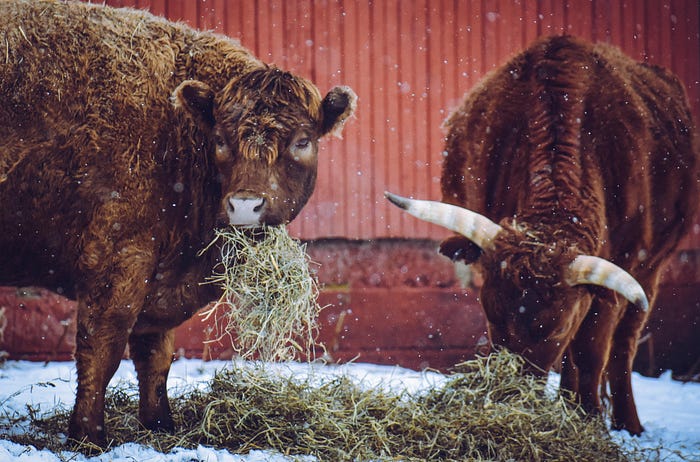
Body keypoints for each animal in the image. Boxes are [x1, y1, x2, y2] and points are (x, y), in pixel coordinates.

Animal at [0, 0, 356, 445]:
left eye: (302, 141)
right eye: (220, 139)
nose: (245, 205)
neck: (174, 135)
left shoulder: (156, 279)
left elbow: (156, 356)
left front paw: (160, 424)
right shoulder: (117, 262)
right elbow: (102, 349)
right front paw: (89, 436)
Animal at [386, 35, 698, 436]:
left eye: (556, 328)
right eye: (492, 315)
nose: (511, 396)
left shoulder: (617, 276)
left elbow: (591, 350)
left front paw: (591, 420)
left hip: (651, 271)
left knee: (622, 345)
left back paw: (628, 423)